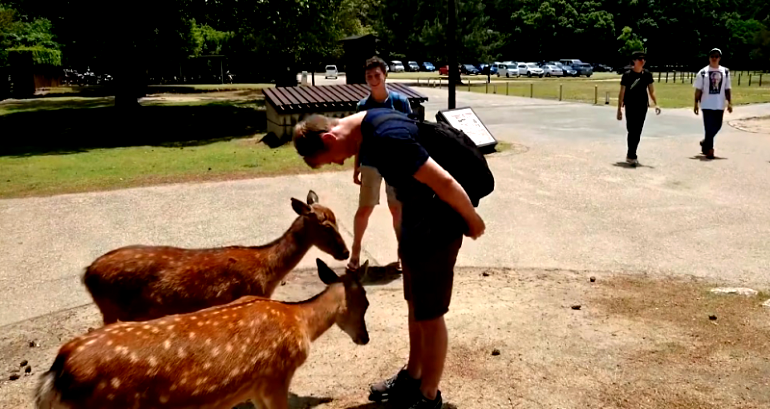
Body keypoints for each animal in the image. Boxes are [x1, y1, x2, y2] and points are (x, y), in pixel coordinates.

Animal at [36, 258, 368, 408]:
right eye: (365, 301)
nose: (365, 338)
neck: (300, 322)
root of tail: (58, 372)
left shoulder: (255, 388)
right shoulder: (276, 376)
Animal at [83, 189, 348, 326]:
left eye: (337, 218)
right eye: (326, 226)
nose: (345, 252)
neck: (268, 272)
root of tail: (86, 274)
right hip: (112, 310)